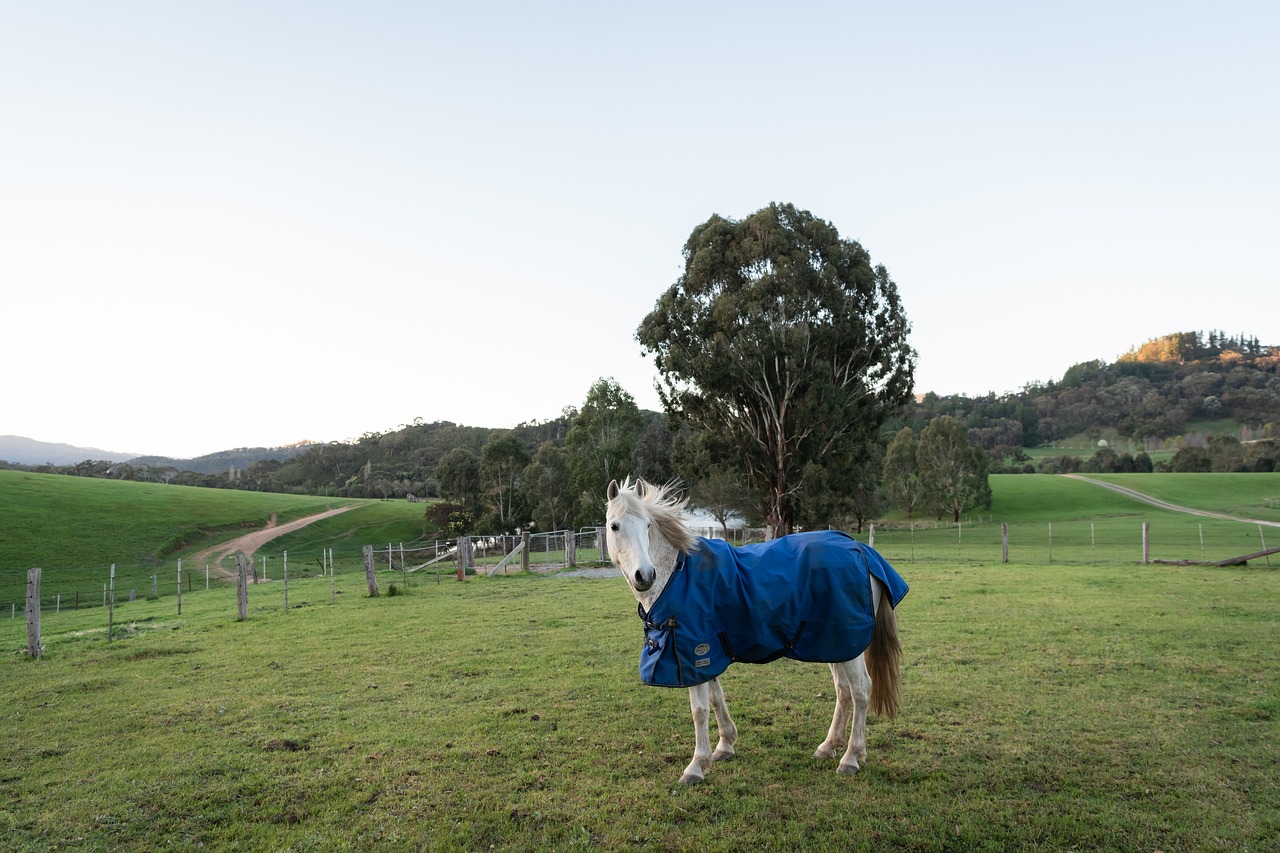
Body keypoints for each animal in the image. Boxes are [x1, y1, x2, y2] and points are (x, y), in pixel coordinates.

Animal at [604, 473, 906, 778]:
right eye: (614, 526)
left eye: (648, 525)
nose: (645, 575)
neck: (677, 573)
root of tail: (862, 550)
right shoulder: (708, 654)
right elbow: (715, 698)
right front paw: (724, 745)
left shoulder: (693, 654)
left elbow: (699, 710)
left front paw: (696, 766)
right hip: (834, 644)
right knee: (843, 691)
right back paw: (828, 746)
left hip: (850, 646)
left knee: (861, 691)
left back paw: (851, 757)